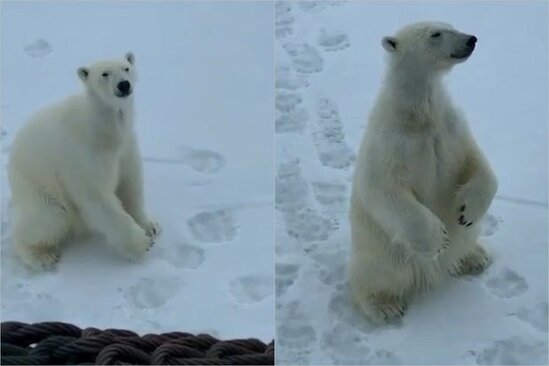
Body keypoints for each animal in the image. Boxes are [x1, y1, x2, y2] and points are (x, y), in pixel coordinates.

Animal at [8, 52, 158, 268]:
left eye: (126, 68)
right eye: (105, 74)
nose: (124, 85)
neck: (103, 130)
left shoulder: (125, 146)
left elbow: (130, 182)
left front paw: (150, 226)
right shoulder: (83, 157)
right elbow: (97, 198)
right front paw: (141, 244)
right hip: (37, 186)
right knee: (50, 216)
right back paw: (42, 255)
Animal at [348, 21, 498, 322]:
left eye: (451, 25)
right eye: (436, 34)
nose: (471, 39)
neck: (419, 117)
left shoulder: (451, 128)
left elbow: (476, 162)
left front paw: (467, 211)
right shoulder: (391, 144)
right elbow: (383, 189)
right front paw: (438, 239)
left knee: (466, 239)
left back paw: (474, 256)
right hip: (383, 248)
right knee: (380, 273)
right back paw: (385, 305)